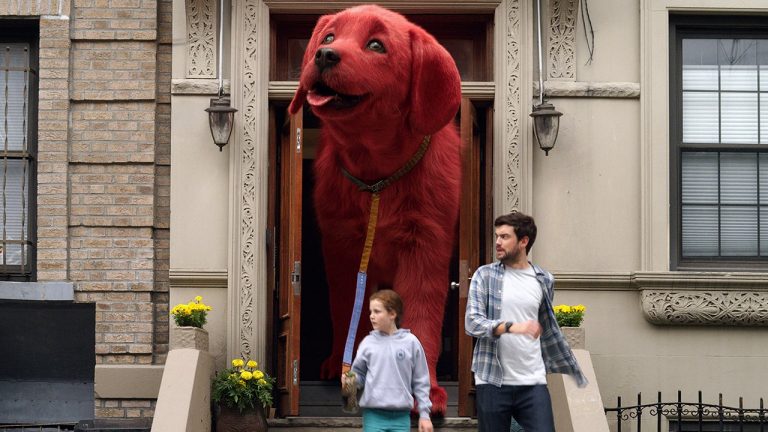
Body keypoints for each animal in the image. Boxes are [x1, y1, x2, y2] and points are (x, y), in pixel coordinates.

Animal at [286, 5, 456, 414]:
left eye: (376, 45)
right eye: (329, 37)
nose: (323, 55)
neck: (377, 178)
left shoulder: (426, 246)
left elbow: (422, 315)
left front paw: (429, 392)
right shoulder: (342, 247)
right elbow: (348, 307)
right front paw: (347, 367)